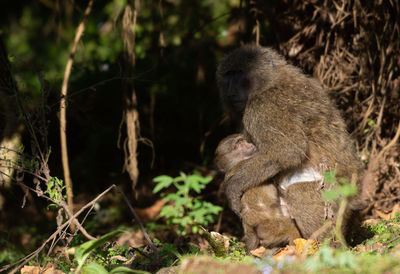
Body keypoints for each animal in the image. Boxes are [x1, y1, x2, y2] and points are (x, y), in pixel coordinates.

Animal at [217, 45, 364, 242]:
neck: (269, 80)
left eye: (239, 73)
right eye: (228, 75)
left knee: (297, 192)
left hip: (335, 197)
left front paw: (232, 189)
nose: (231, 92)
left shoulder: (263, 106)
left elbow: (287, 150)